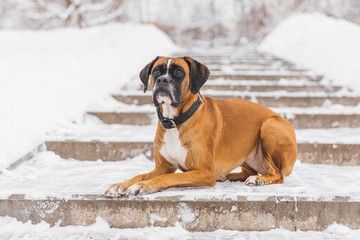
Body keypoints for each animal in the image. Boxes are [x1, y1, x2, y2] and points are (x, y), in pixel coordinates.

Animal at [105, 56, 296, 197]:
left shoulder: (204, 172)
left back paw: (258, 179)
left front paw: (143, 186)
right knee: (246, 172)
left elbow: (168, 178)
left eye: (179, 72)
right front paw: (121, 185)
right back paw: (229, 175)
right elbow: (141, 174)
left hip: (270, 125)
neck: (175, 121)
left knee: (278, 174)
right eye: (156, 71)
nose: (162, 80)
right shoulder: (163, 166)